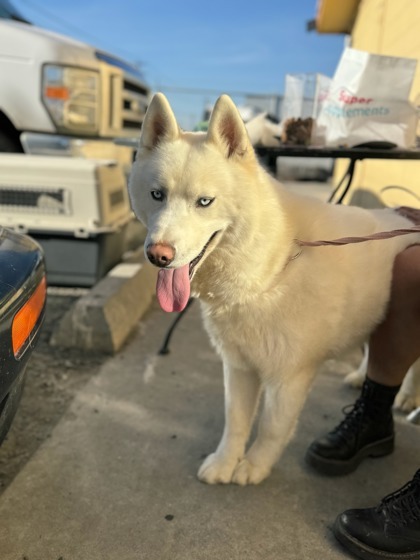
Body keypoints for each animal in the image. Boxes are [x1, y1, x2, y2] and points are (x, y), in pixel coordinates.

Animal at [129, 93, 420, 486]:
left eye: (204, 202)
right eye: (157, 195)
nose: (158, 256)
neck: (270, 267)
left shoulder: (290, 376)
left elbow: (271, 426)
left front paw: (254, 465)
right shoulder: (238, 366)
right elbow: (235, 421)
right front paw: (226, 461)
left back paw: (407, 397)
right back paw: (361, 375)